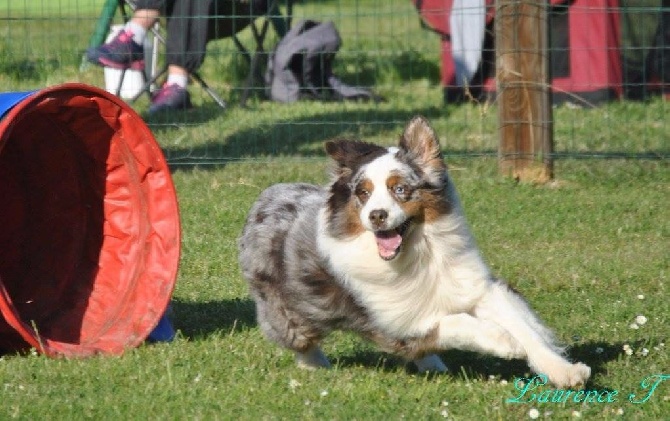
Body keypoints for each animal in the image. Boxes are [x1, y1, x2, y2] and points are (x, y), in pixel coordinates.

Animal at [238, 115, 592, 388]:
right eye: (363, 194)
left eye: (400, 189)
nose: (376, 215)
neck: (418, 253)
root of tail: (269, 193)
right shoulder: (398, 324)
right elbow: (456, 323)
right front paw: (503, 341)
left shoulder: (477, 287)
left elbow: (526, 328)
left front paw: (563, 371)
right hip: (285, 307)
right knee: (299, 337)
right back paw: (315, 367)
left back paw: (434, 366)